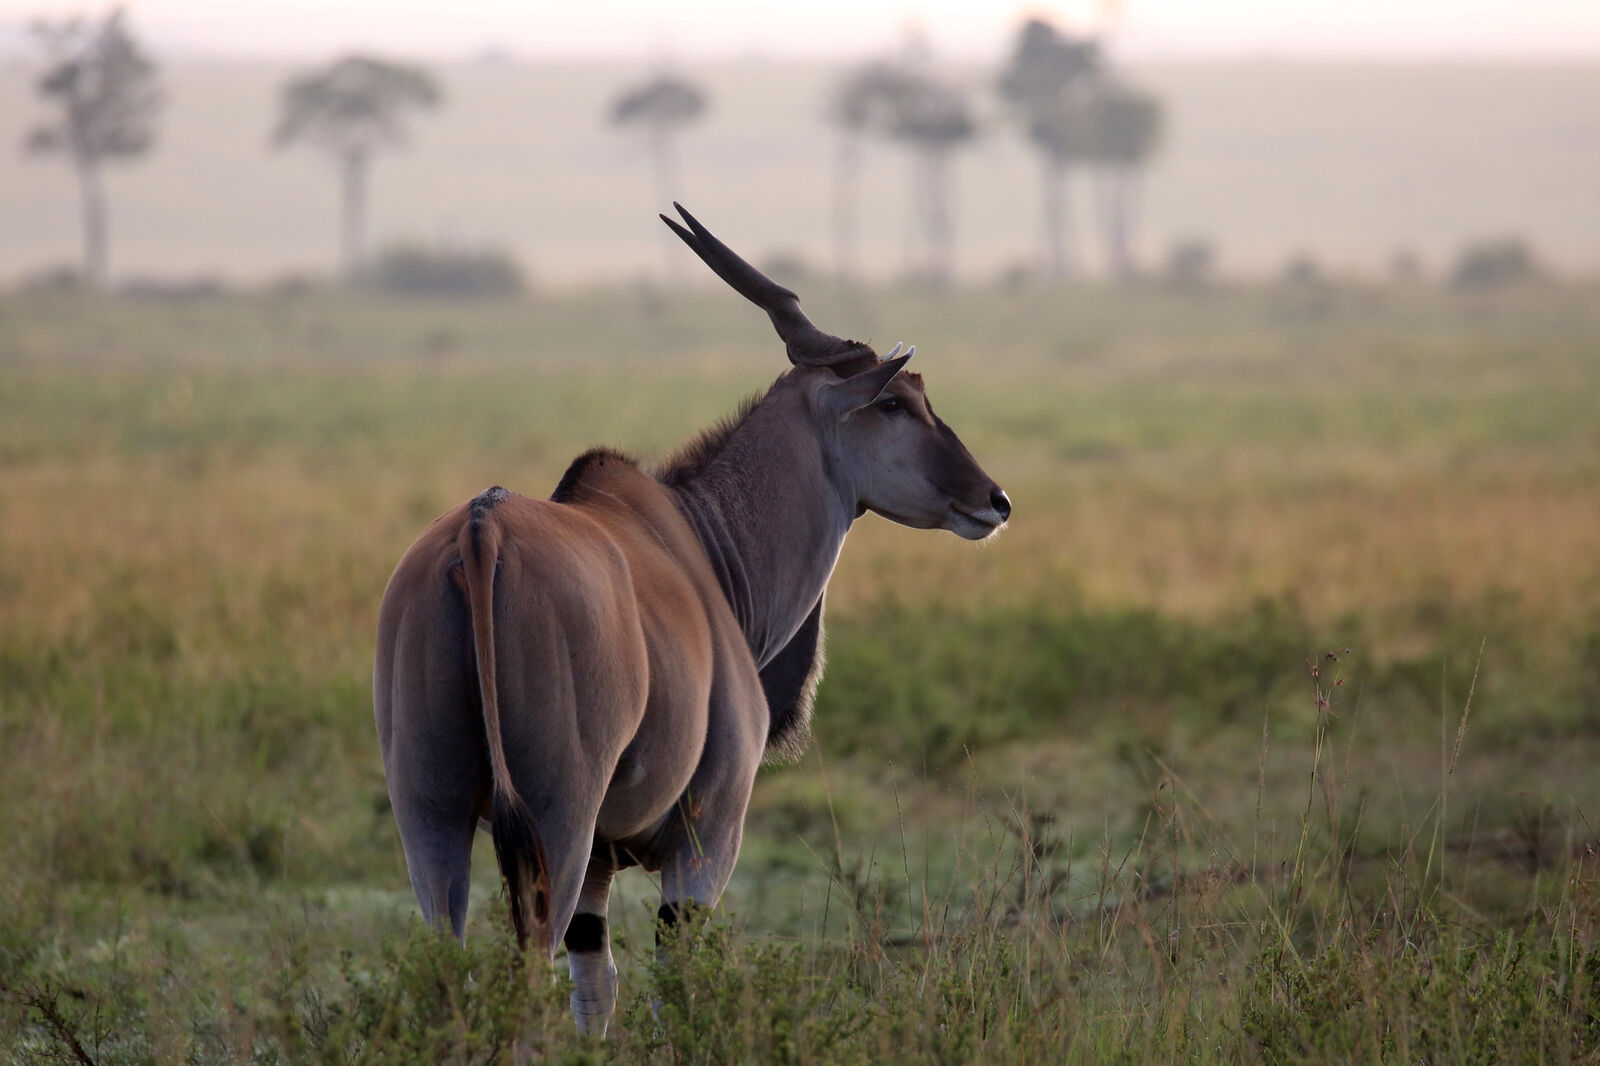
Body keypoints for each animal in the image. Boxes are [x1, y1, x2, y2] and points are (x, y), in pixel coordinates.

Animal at [371, 201, 1011, 1030]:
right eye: (897, 403)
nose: (993, 499)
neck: (705, 543)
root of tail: (483, 535)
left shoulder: (603, 865)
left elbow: (597, 988)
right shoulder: (705, 837)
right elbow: (675, 985)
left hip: (431, 815)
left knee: (450, 963)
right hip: (558, 820)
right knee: (528, 975)